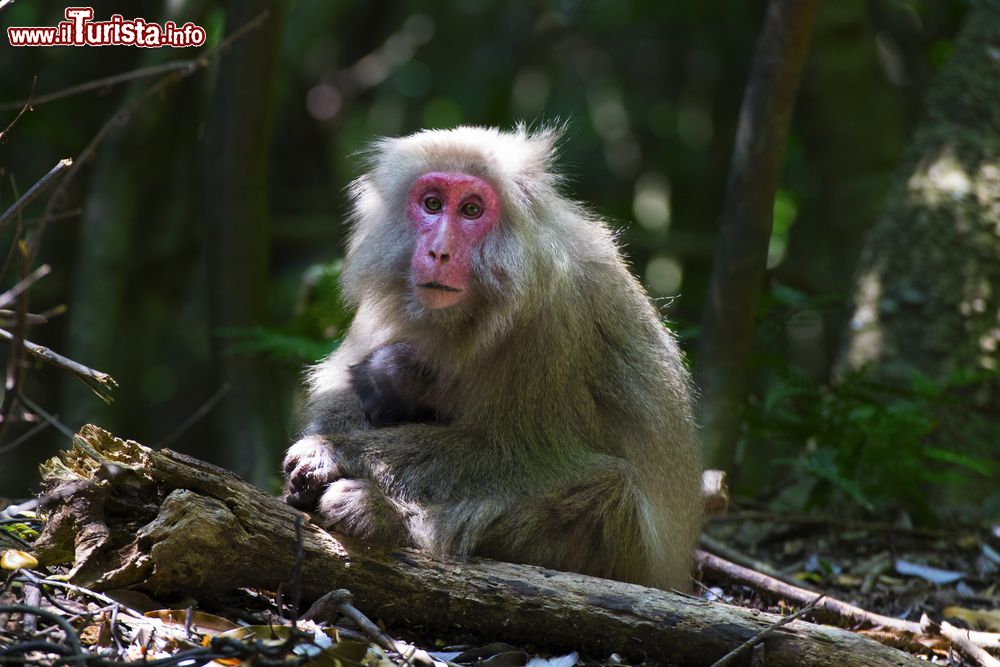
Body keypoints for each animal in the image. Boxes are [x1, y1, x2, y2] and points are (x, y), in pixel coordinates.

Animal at [282, 125, 704, 588]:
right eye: (432, 204)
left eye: (471, 210)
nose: (439, 251)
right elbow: (342, 390)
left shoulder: (554, 319)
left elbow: (517, 453)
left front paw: (334, 451)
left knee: (608, 489)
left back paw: (379, 515)